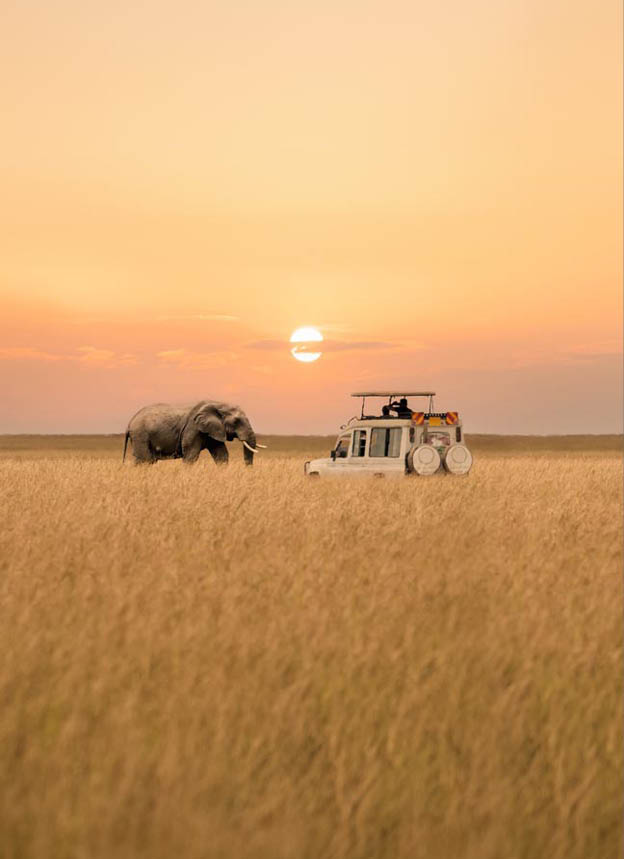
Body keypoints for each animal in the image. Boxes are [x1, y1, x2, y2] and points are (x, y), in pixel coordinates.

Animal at [122, 400, 265, 465]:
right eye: (236, 421)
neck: (217, 404)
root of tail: (130, 422)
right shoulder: (193, 429)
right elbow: (191, 455)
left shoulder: (213, 430)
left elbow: (222, 455)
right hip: (141, 435)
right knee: (145, 460)